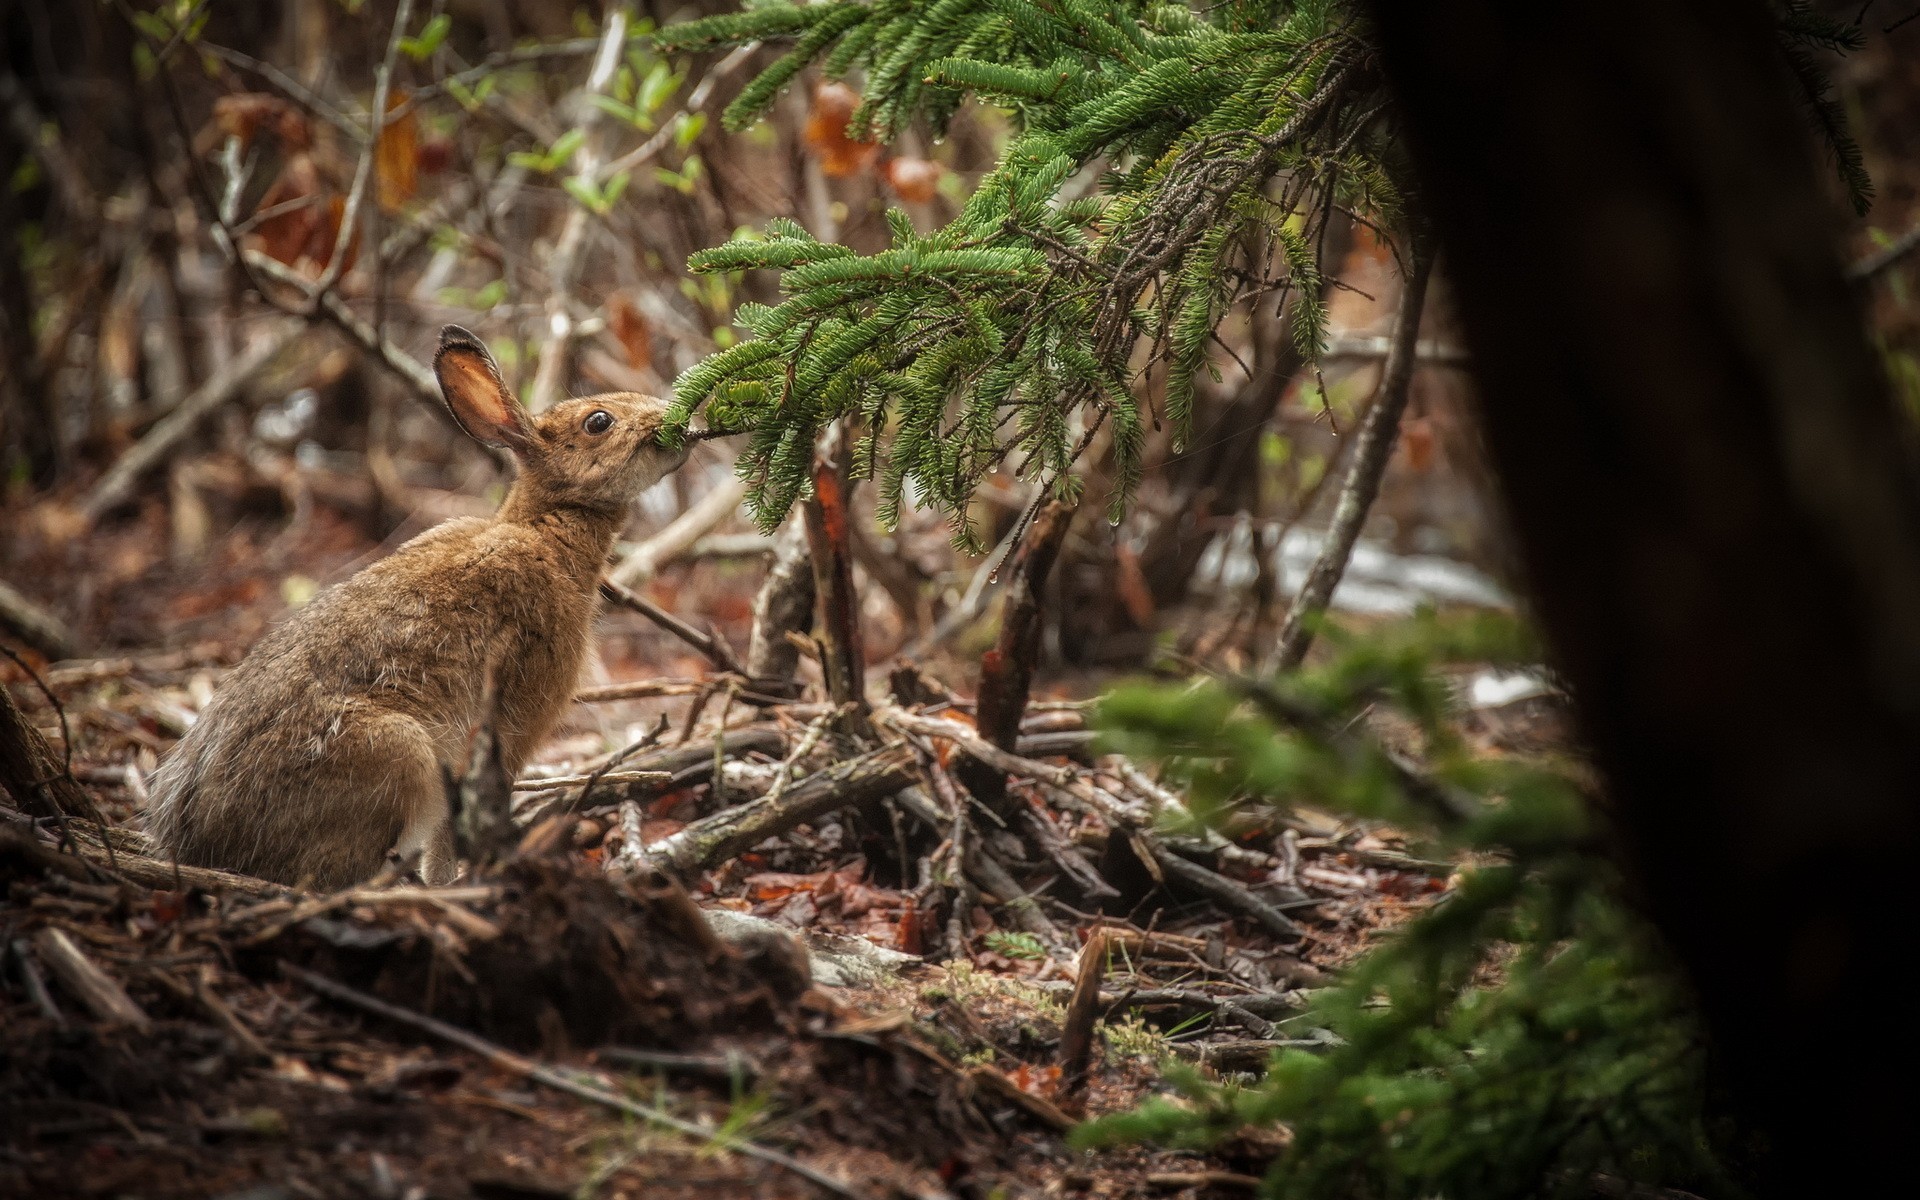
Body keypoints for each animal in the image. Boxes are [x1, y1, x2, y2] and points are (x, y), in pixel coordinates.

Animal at [144, 325, 692, 889]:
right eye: (598, 421)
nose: (673, 419)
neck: (544, 527)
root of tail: (201, 843)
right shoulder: (510, 723)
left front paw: (449, 883)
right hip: (398, 754)